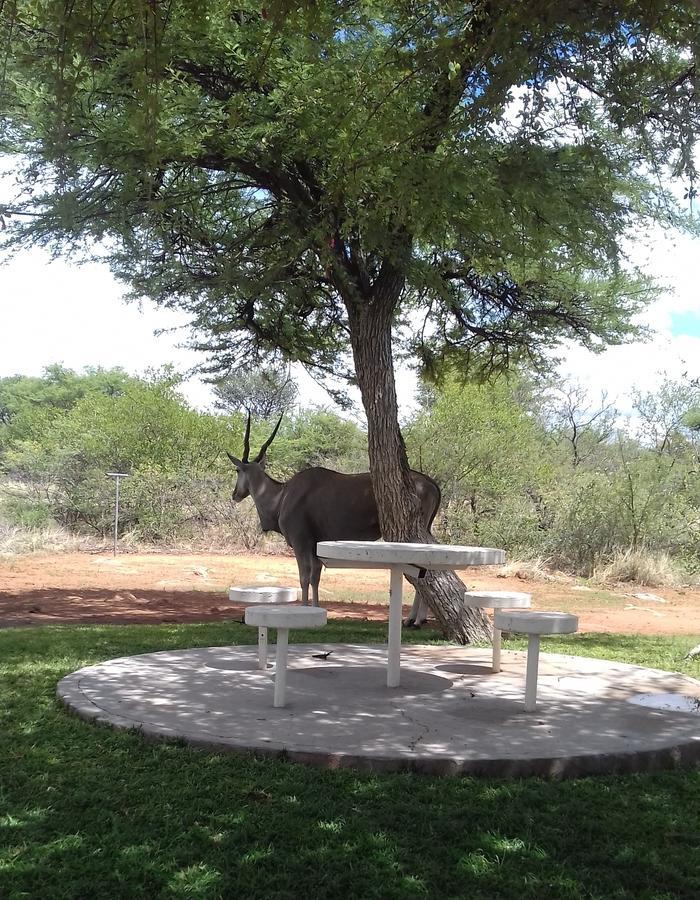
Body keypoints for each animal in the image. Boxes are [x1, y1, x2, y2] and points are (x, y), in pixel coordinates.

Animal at [227, 416, 440, 612]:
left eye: (237, 469)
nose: (235, 494)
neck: (283, 495)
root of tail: (431, 483)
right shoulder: (315, 547)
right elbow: (315, 578)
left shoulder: (301, 543)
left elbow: (304, 578)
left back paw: (413, 620)